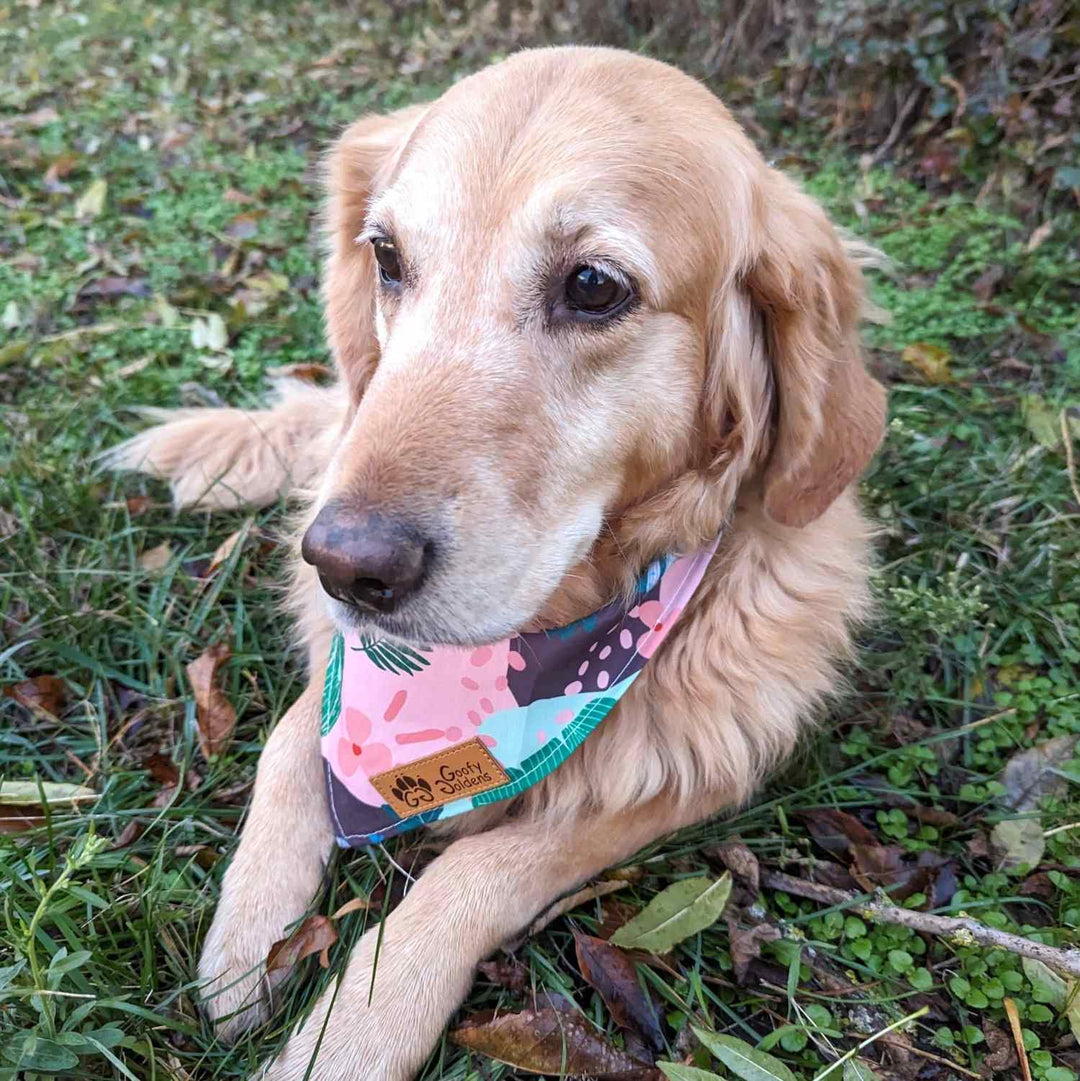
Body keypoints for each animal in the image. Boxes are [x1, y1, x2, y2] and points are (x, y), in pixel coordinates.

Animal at [109, 44, 886, 1081]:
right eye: (387, 257)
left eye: (594, 285)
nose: (345, 566)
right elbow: (292, 741)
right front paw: (250, 936)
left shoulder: (684, 781)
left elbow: (482, 866)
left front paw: (353, 1026)